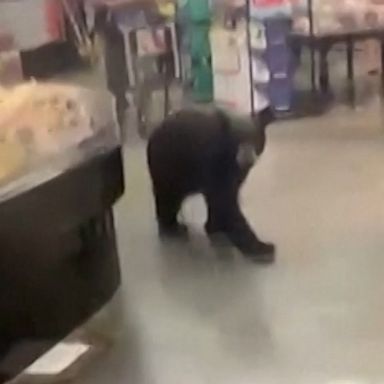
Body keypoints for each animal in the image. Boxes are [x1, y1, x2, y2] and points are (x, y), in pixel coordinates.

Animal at [147, 107, 276, 264]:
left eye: (254, 137)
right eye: (237, 138)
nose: (247, 158)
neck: (230, 157)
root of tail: (154, 132)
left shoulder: (237, 172)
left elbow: (225, 196)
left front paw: (215, 227)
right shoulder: (212, 159)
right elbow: (225, 200)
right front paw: (262, 248)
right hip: (169, 167)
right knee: (168, 197)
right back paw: (172, 228)